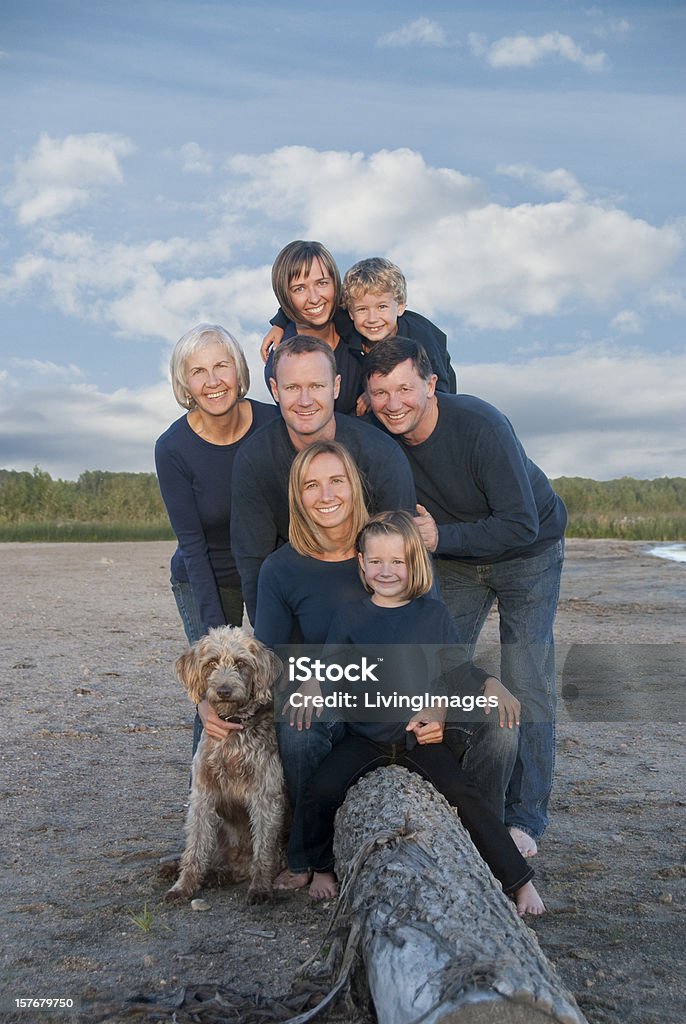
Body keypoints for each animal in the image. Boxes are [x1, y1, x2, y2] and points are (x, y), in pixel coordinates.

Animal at [166, 622, 286, 905]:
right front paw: (184, 885)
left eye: (241, 663)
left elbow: (264, 848)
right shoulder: (203, 793)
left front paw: (261, 887)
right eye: (211, 663)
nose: (223, 691)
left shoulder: (265, 794)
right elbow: (195, 847)